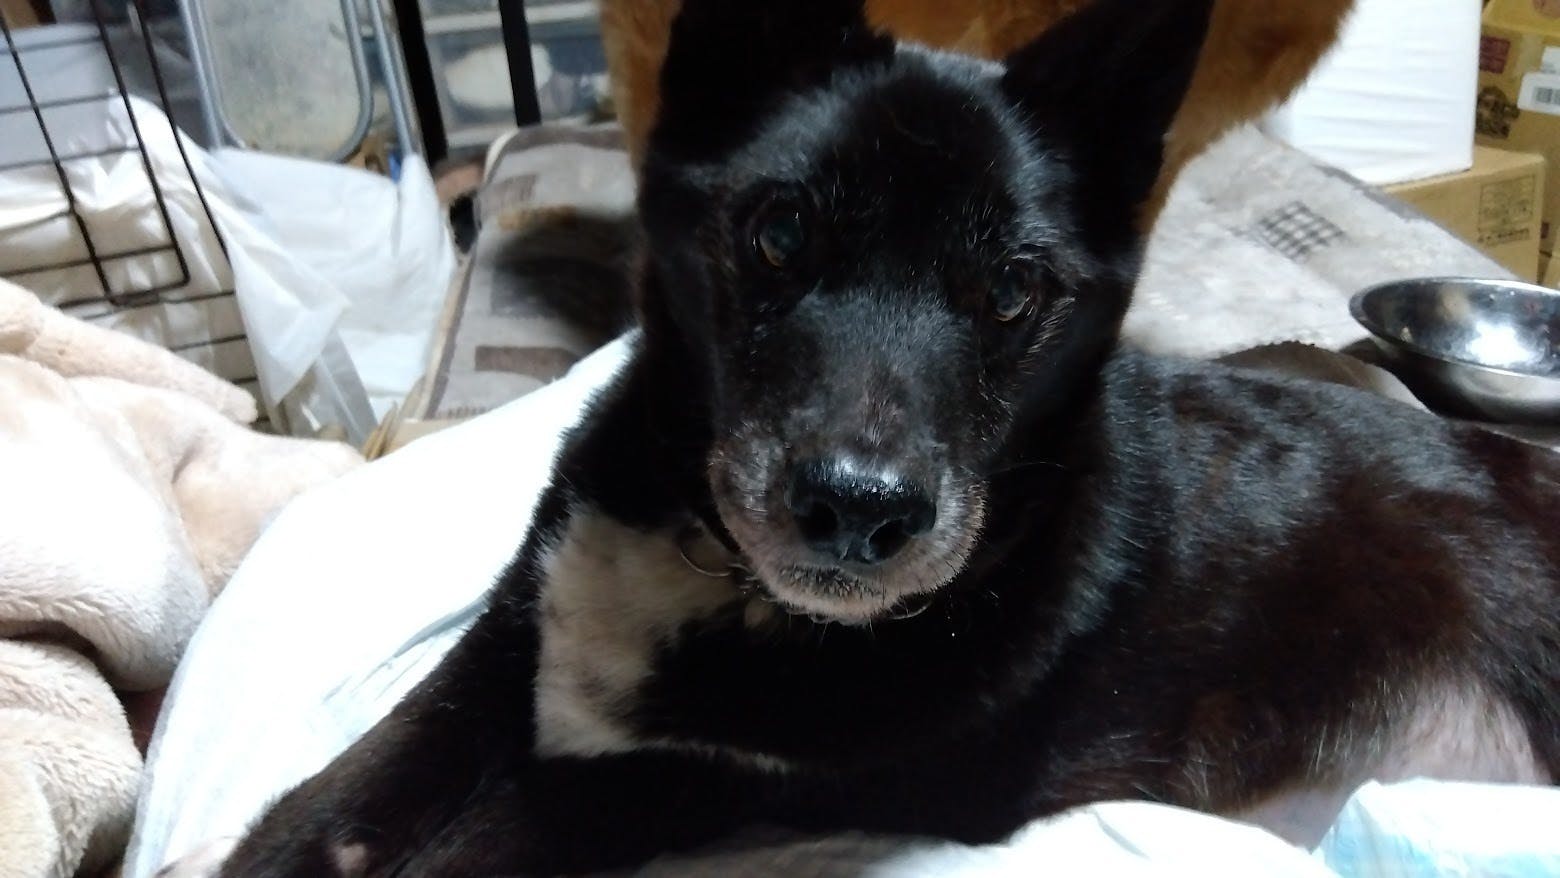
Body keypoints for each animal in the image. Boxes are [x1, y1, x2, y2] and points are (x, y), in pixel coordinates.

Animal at [213, 0, 1559, 874]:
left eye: (1014, 290)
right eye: (778, 234)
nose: (861, 512)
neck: (712, 563)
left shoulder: (682, 784)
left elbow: (480, 838)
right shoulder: (518, 617)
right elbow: (373, 760)